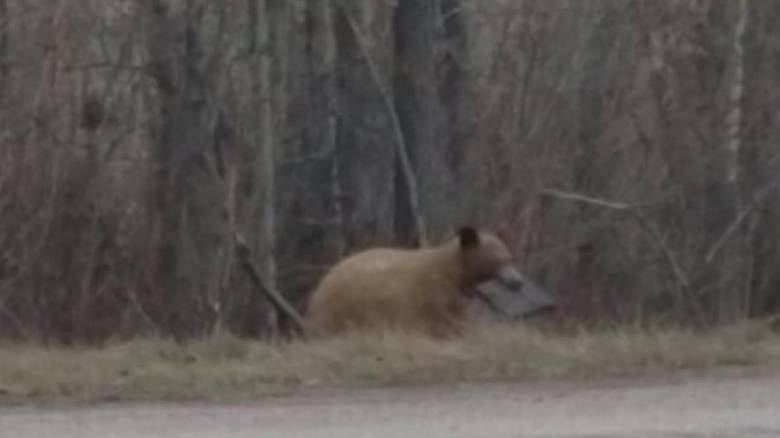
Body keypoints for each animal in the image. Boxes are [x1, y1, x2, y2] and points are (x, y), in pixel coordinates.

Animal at [304, 228, 524, 338]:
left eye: (510, 257)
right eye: (498, 260)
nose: (517, 281)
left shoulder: (454, 298)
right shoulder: (428, 297)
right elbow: (436, 324)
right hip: (342, 312)